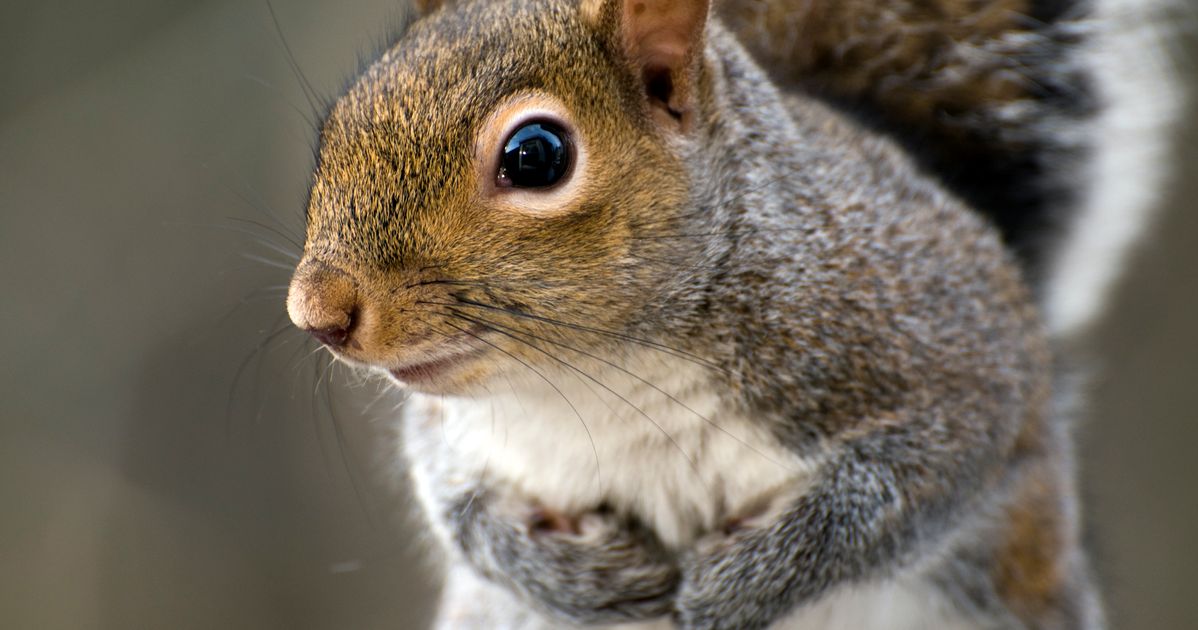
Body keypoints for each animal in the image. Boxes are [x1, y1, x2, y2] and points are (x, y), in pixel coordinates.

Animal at [282, 0, 1178, 627]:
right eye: (337, 128)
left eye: (535, 156)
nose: (316, 312)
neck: (603, 377)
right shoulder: (454, 431)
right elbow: (455, 505)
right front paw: (578, 580)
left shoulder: (952, 349)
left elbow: (914, 482)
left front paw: (747, 581)